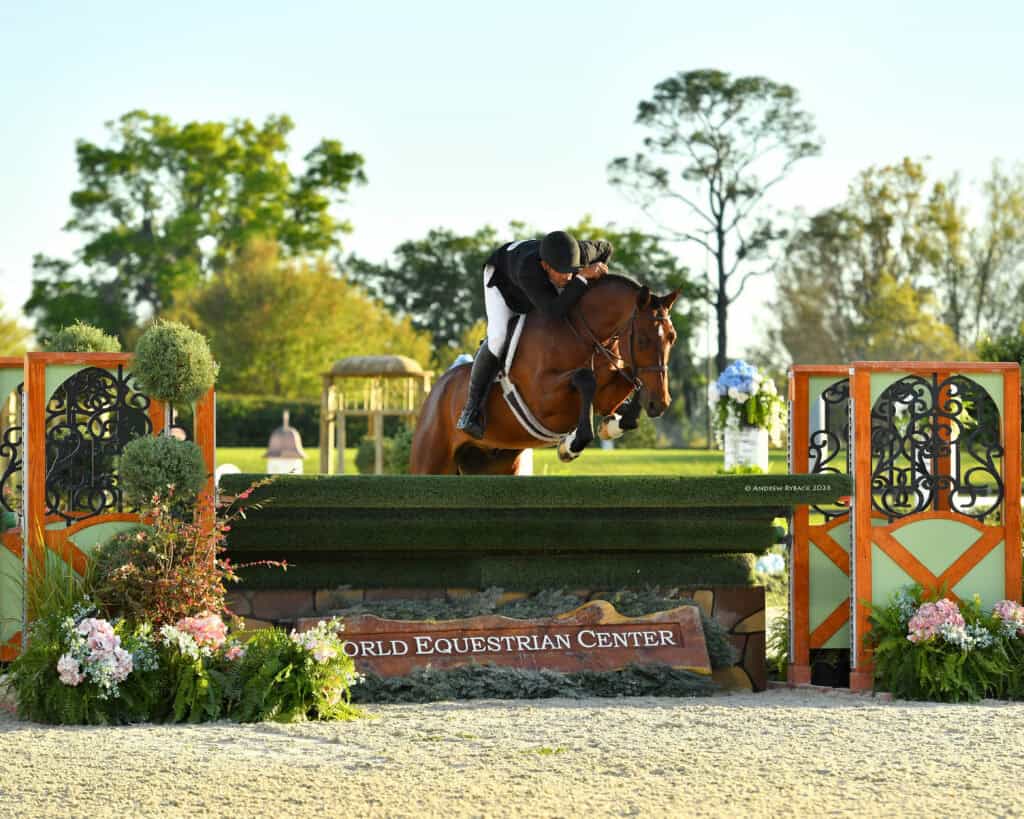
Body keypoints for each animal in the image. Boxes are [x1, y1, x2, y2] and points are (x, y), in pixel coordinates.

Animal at [410, 274, 679, 475]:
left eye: (672, 337)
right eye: (642, 339)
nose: (660, 403)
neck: (582, 334)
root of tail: (436, 390)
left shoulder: (608, 391)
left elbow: (627, 384)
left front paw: (612, 425)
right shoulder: (543, 400)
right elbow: (585, 378)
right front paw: (571, 446)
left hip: (496, 464)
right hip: (431, 461)